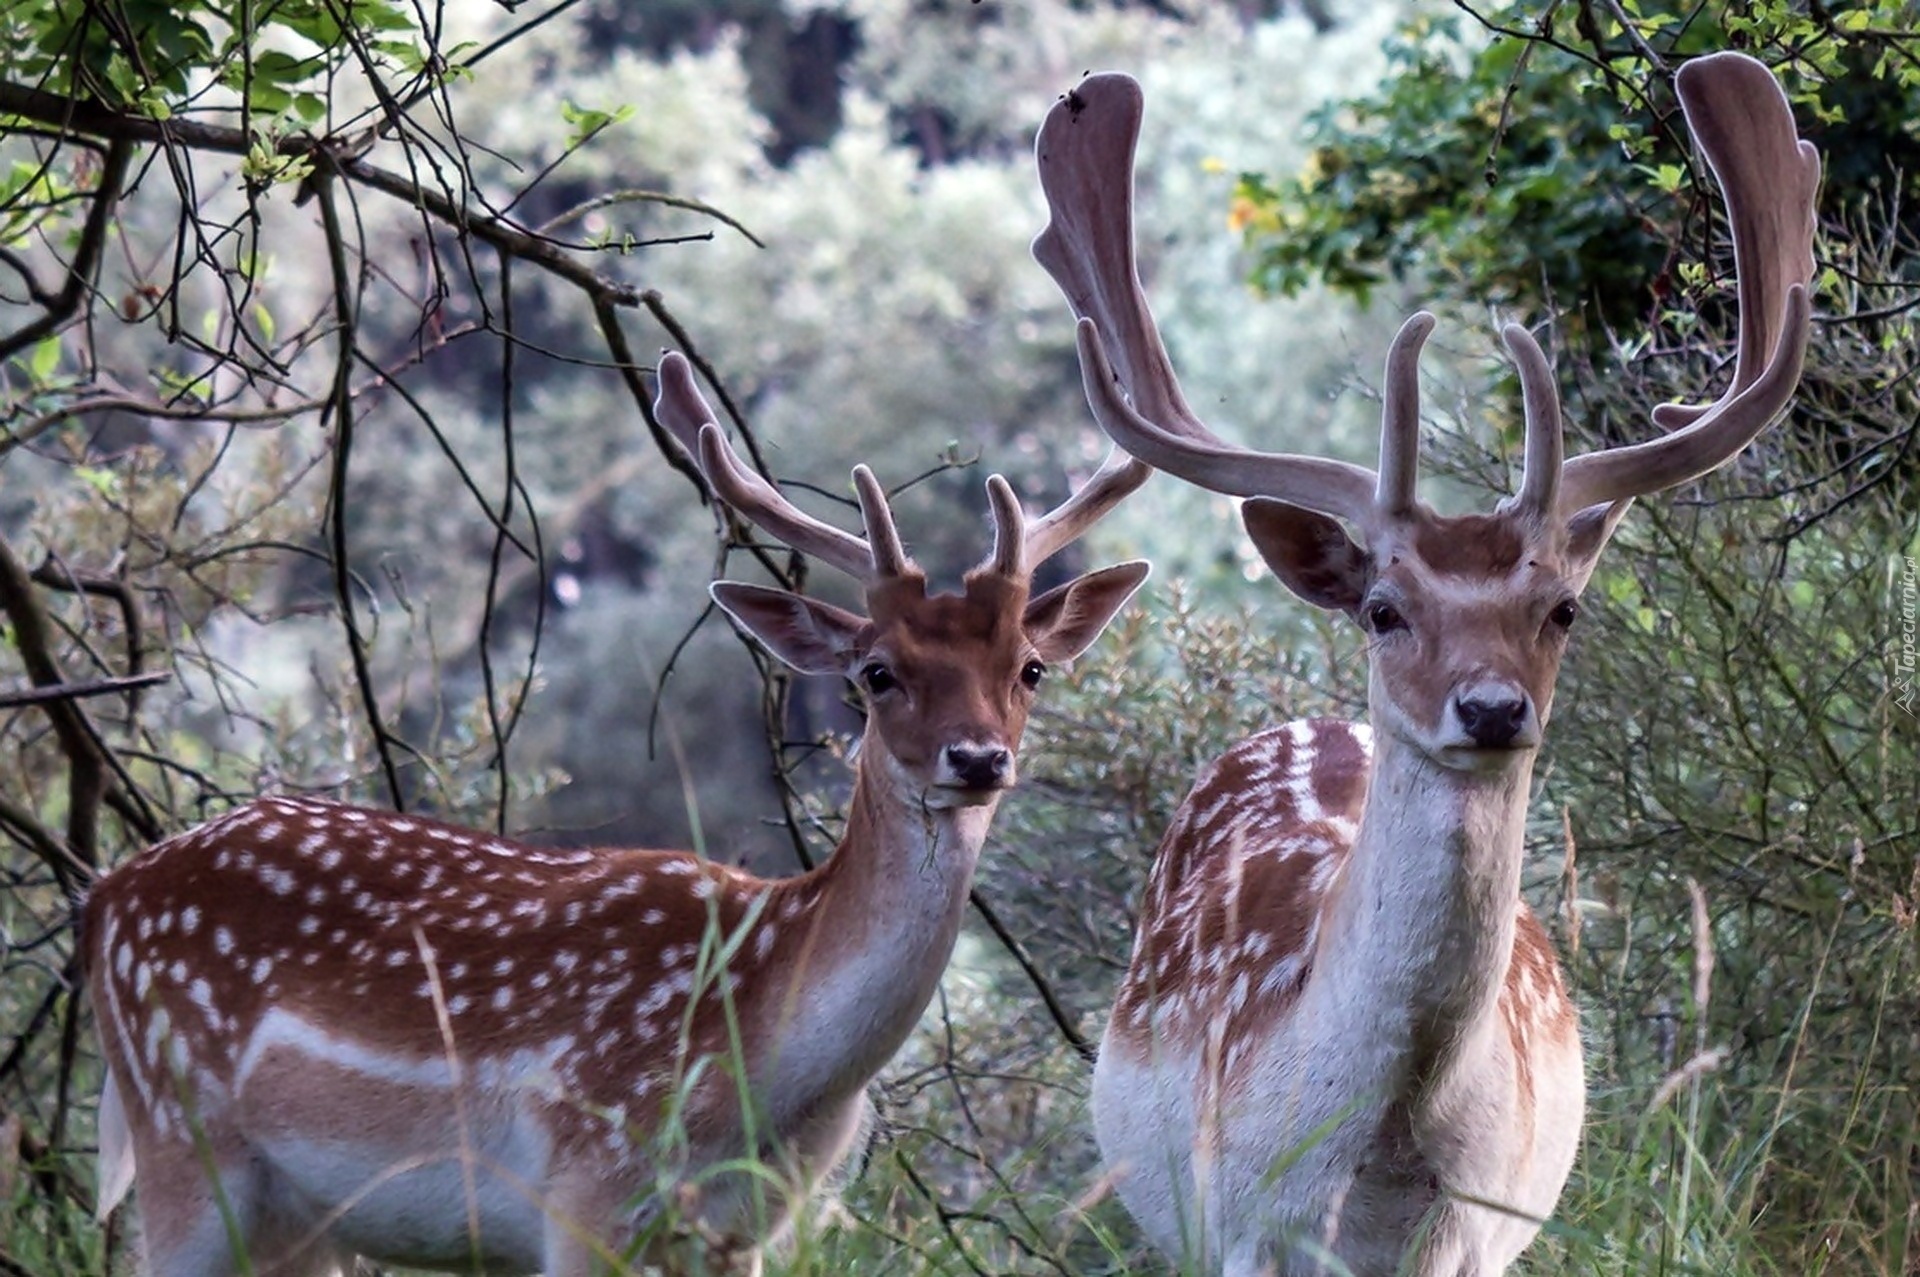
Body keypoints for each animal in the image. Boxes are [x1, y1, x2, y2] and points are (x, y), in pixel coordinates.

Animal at [82, 351, 1144, 1275]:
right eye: (878, 672)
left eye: (1030, 669)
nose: (979, 757)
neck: (769, 1074)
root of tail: (105, 897)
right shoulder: (585, 1188)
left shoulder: (742, 1227)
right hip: (182, 1144)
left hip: (297, 1218)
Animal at [1029, 54, 1820, 1267]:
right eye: (1384, 609)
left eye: (1564, 608)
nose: (1491, 708)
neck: (1388, 1147)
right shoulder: (1242, 1221)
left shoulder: (1481, 1228)